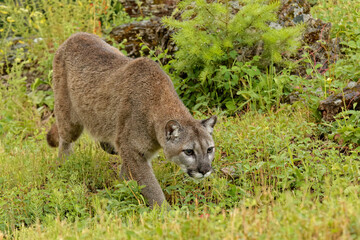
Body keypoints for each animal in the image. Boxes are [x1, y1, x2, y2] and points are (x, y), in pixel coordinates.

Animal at [46, 32, 218, 208]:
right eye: (189, 151)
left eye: (209, 149)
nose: (205, 170)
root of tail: (75, 35)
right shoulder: (133, 150)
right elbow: (150, 185)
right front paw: (165, 210)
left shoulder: (132, 150)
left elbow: (127, 175)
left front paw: (123, 189)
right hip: (69, 118)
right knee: (64, 141)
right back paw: (64, 165)